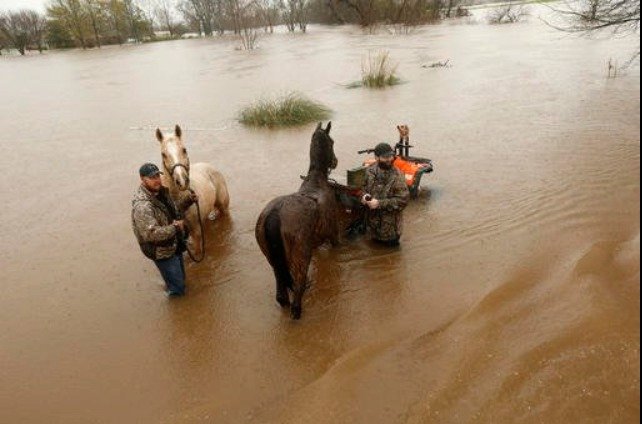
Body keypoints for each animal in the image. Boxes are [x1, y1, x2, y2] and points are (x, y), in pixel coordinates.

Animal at [155, 125, 230, 258]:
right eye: (163, 154)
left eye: (184, 150)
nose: (182, 181)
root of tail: (209, 166)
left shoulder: (195, 232)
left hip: (224, 207)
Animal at [255, 121, 340, 320]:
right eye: (332, 142)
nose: (335, 161)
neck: (317, 180)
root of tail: (274, 214)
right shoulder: (333, 236)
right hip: (300, 257)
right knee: (298, 287)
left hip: (273, 260)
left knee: (281, 292)